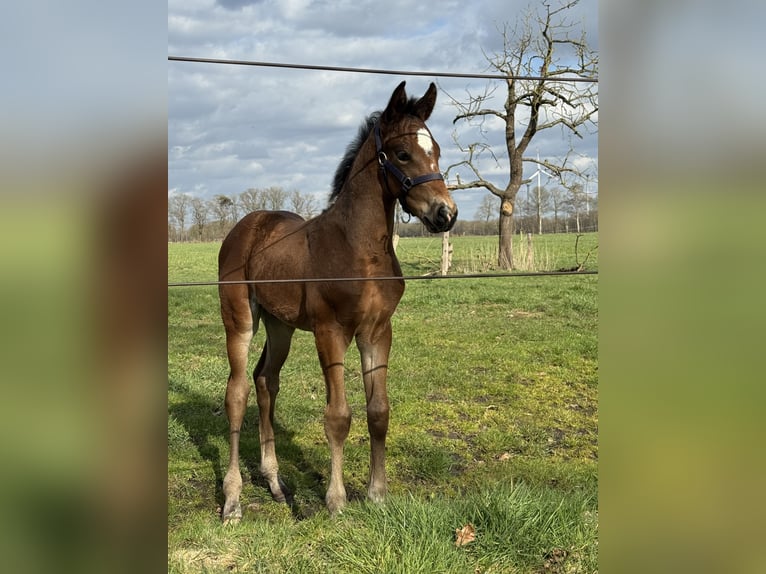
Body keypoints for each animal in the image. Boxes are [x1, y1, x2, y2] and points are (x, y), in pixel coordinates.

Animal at [217, 81, 458, 521]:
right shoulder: (330, 332)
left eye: (436, 150)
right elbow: (338, 416)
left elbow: (378, 411)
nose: (445, 214)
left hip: (280, 325)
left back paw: (275, 483)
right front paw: (336, 501)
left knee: (266, 380)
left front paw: (377, 495)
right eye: (402, 154)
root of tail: (249, 223)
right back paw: (233, 499)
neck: (360, 250)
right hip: (240, 318)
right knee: (237, 391)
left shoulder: (377, 332)